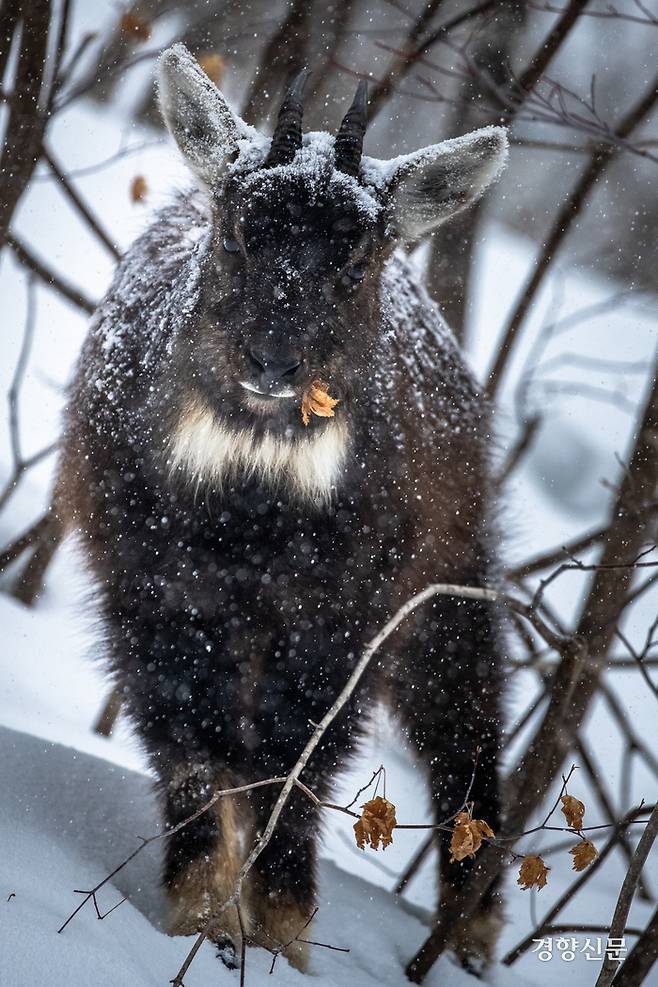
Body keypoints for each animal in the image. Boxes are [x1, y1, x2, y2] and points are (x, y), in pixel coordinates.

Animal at [56, 42, 508, 976]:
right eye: (237, 233)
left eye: (356, 262)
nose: (271, 361)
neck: (251, 518)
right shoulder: (150, 593)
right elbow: (193, 749)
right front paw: (204, 918)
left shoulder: (346, 617)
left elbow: (298, 760)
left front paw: (282, 931)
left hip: (452, 565)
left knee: (467, 705)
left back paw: (472, 935)